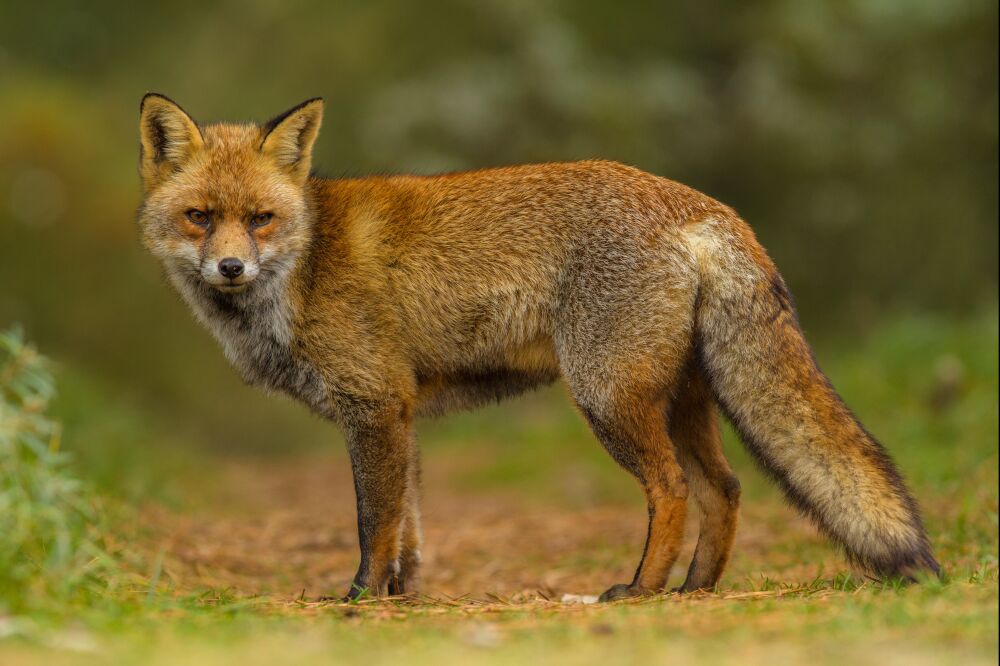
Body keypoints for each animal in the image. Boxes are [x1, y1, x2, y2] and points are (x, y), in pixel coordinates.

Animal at [133, 92, 936, 596]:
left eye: (260, 219)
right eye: (200, 217)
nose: (230, 267)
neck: (304, 263)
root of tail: (702, 204)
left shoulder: (374, 405)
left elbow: (373, 524)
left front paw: (359, 600)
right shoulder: (404, 414)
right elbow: (409, 530)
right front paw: (399, 598)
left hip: (609, 397)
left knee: (673, 488)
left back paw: (641, 590)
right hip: (678, 398)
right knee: (726, 487)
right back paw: (696, 590)